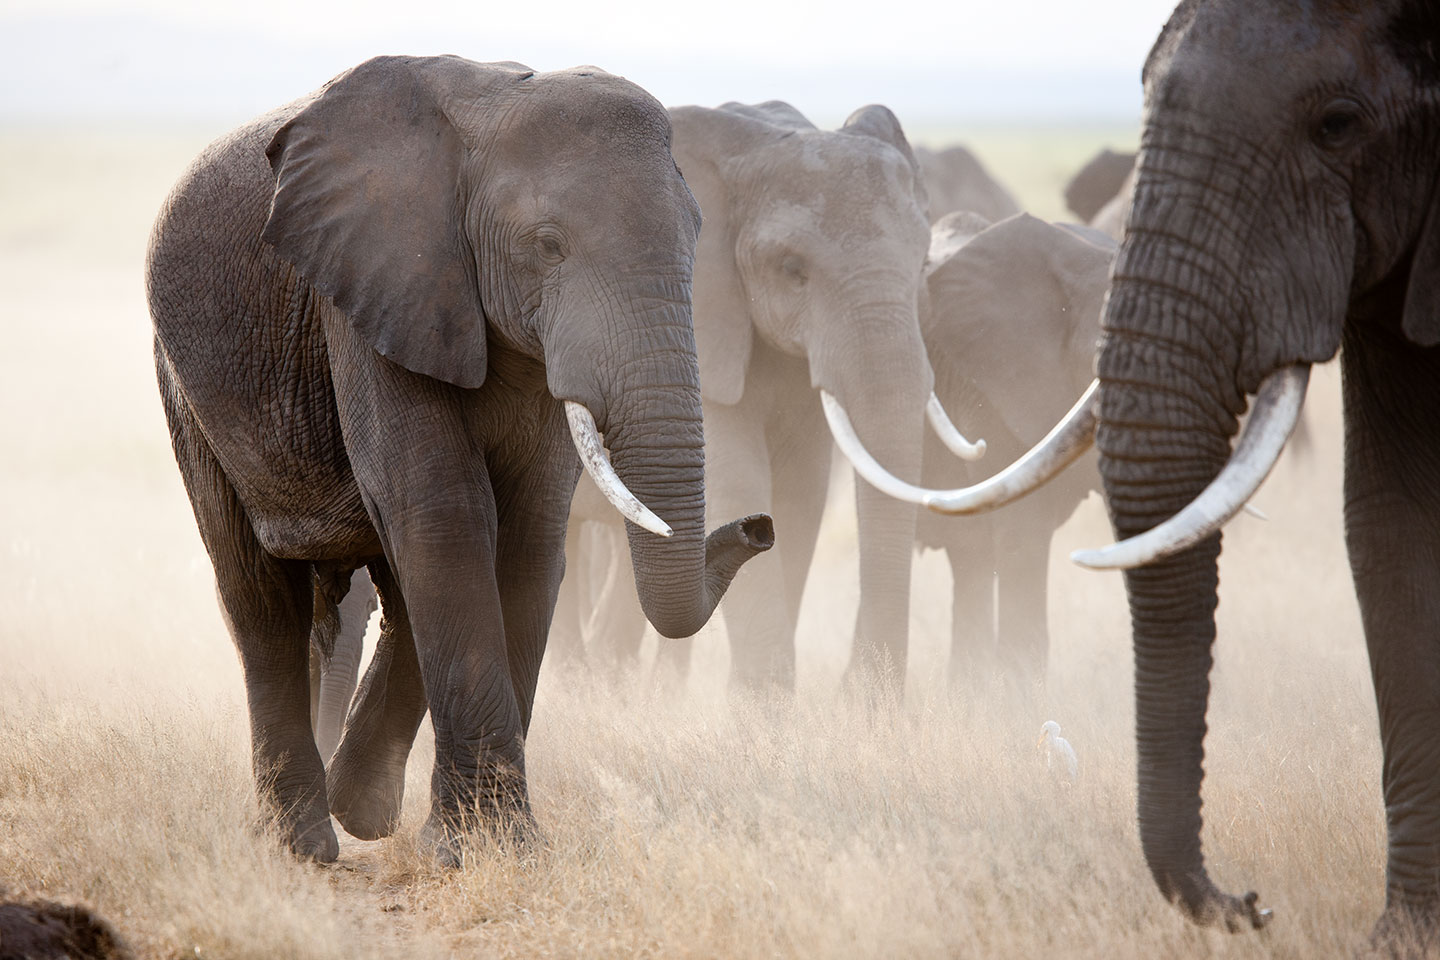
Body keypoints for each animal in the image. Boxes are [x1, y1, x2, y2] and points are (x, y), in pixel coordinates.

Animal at [147, 54, 773, 863]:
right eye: (547, 244)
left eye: (697, 238)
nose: (758, 526)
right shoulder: (374, 290)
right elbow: (442, 514)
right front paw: (474, 850)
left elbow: (529, 532)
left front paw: (490, 845)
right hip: (186, 384)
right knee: (259, 596)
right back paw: (304, 843)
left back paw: (361, 808)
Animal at [549, 99, 980, 692]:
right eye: (793, 270)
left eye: (921, 266)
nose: (856, 690)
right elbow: (735, 482)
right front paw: (763, 706)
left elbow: (801, 495)